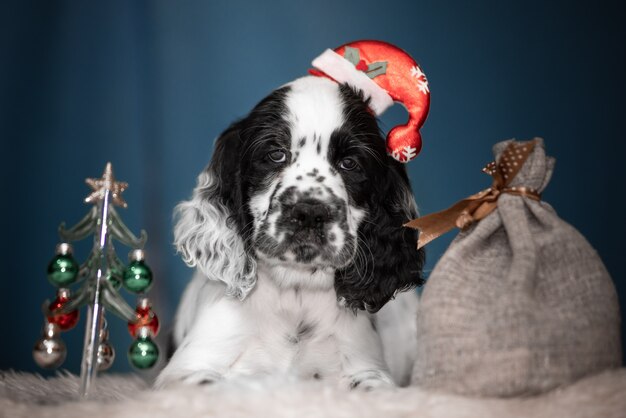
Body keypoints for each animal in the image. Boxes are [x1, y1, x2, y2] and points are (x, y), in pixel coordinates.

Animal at [156, 74, 424, 388]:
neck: (295, 293)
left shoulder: (367, 369)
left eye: (349, 163)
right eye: (276, 154)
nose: (309, 213)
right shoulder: (187, 372)